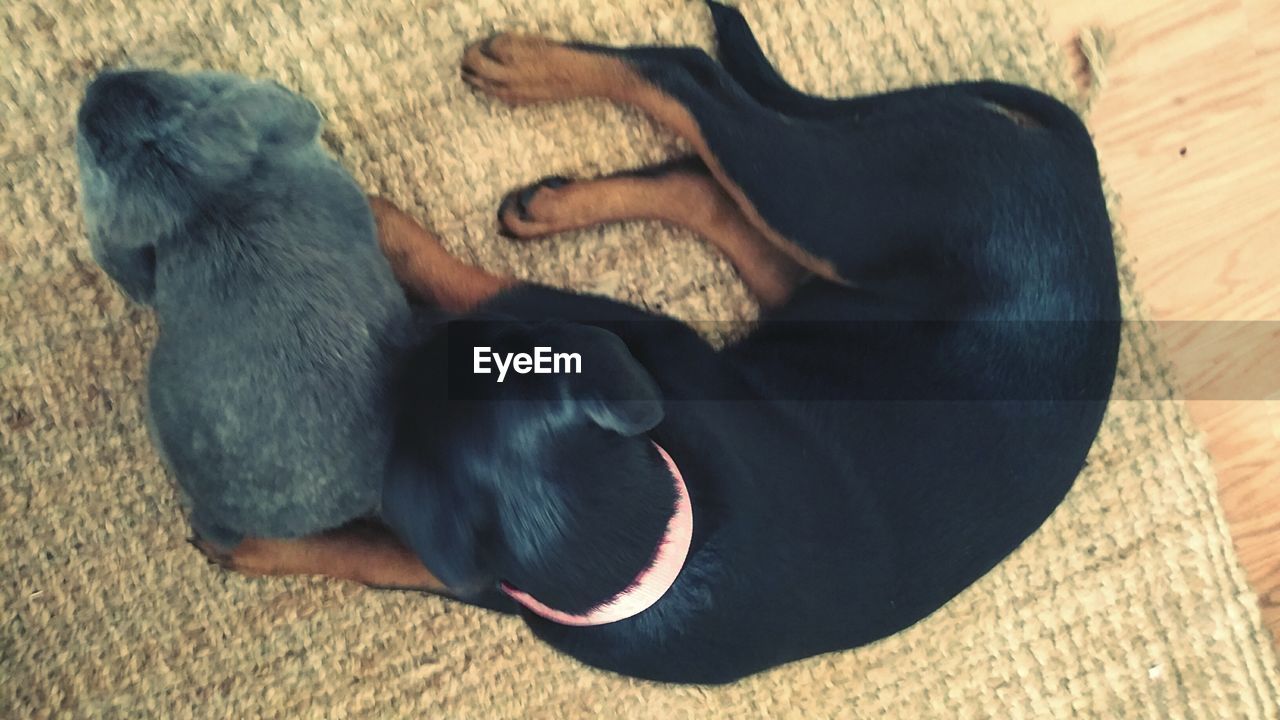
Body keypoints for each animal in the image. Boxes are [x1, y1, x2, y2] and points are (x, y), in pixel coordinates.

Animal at [220, 1, 1121, 681]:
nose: (386, 343)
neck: (649, 549)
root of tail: (1080, 168)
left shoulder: (580, 327)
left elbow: (476, 289)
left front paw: (381, 224)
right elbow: (378, 556)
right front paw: (253, 545)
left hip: (842, 208)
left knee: (696, 94)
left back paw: (532, 86)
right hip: (823, 252)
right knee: (702, 143)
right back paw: (546, 166)